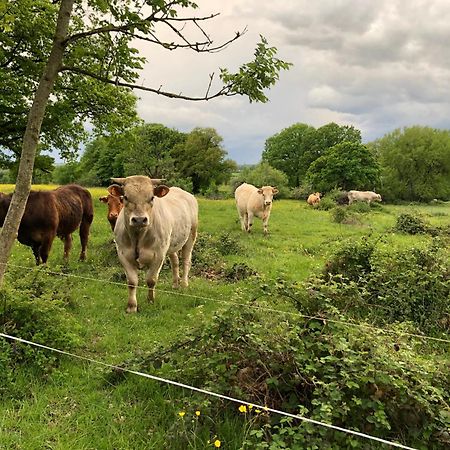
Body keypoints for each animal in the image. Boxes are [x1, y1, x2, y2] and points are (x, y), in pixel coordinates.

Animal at [110, 176, 197, 312]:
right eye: (125, 197)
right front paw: (131, 306)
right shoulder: (123, 254)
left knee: (186, 261)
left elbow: (151, 280)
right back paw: (175, 284)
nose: (139, 219)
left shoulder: (159, 255)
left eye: (151, 197)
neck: (138, 236)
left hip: (191, 236)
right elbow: (132, 281)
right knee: (175, 261)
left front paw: (151, 300)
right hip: (171, 244)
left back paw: (183, 285)